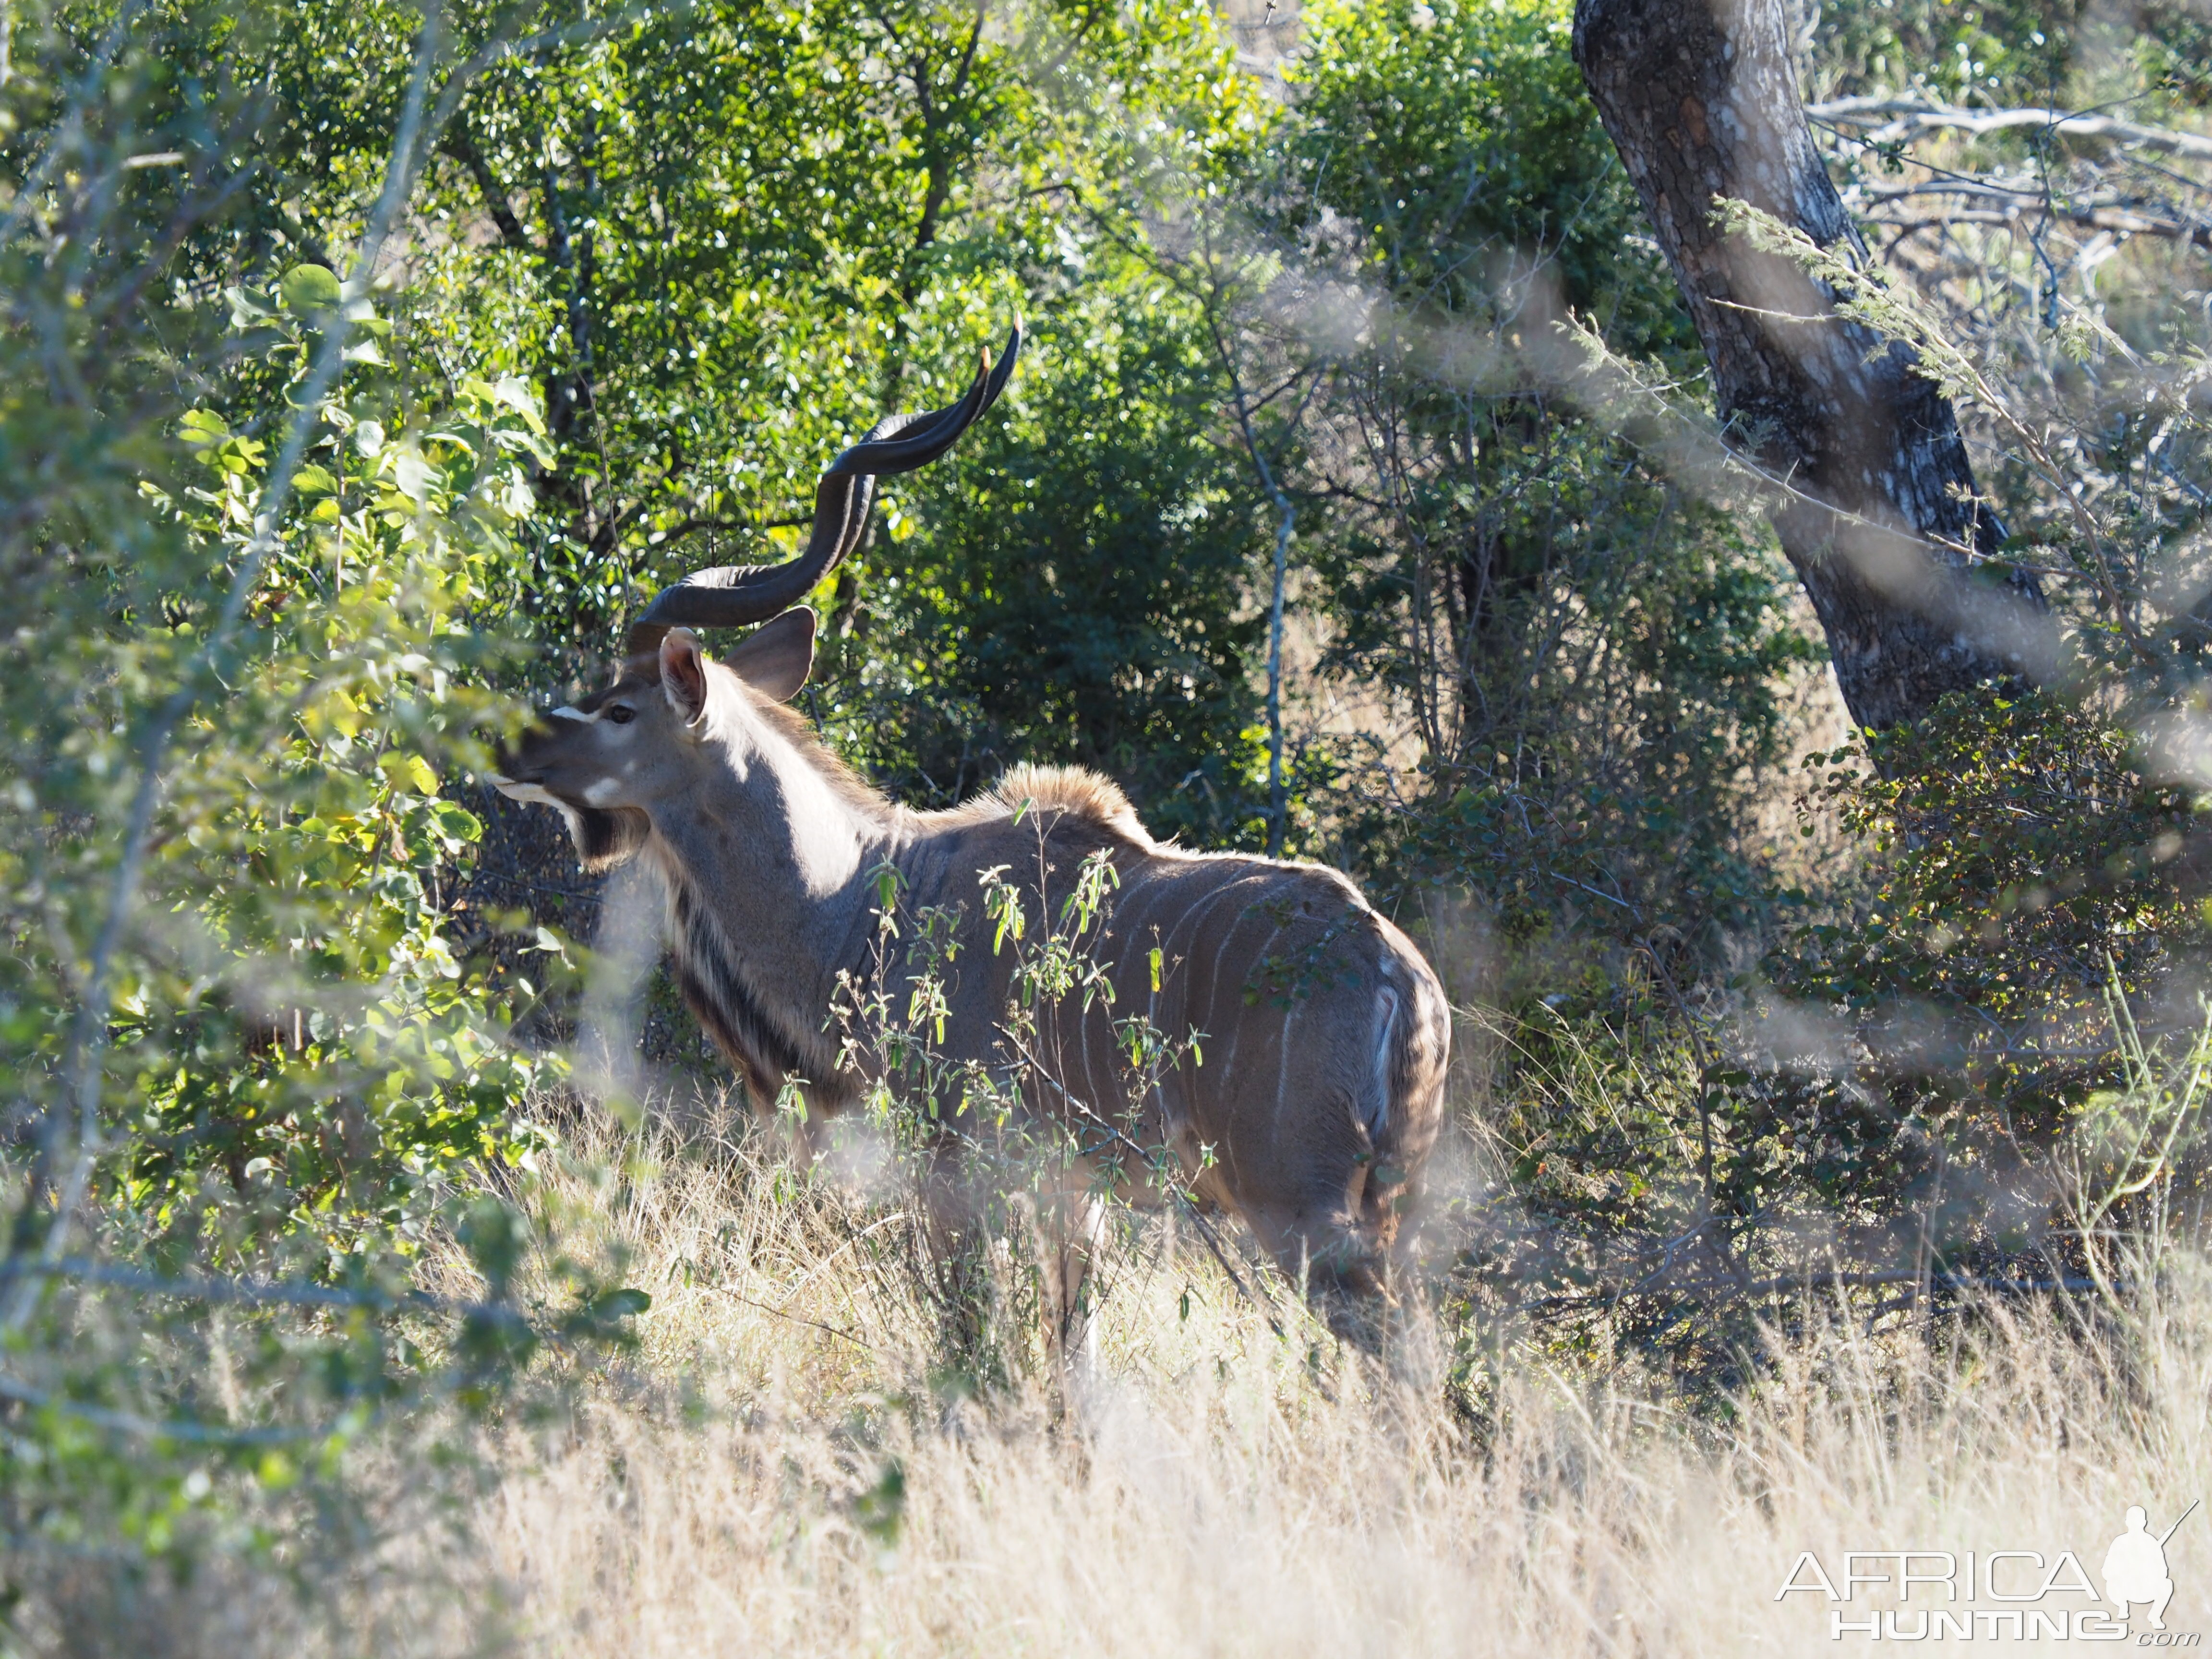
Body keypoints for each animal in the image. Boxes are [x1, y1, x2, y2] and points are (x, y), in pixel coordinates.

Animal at [497, 327, 1451, 1354]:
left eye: (619, 708)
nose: (511, 747)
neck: (860, 894)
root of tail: (1403, 979)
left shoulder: (955, 1165)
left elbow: (970, 1331)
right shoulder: (1076, 1195)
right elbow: (1070, 1344)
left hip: (1302, 1210)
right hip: (1387, 1213)